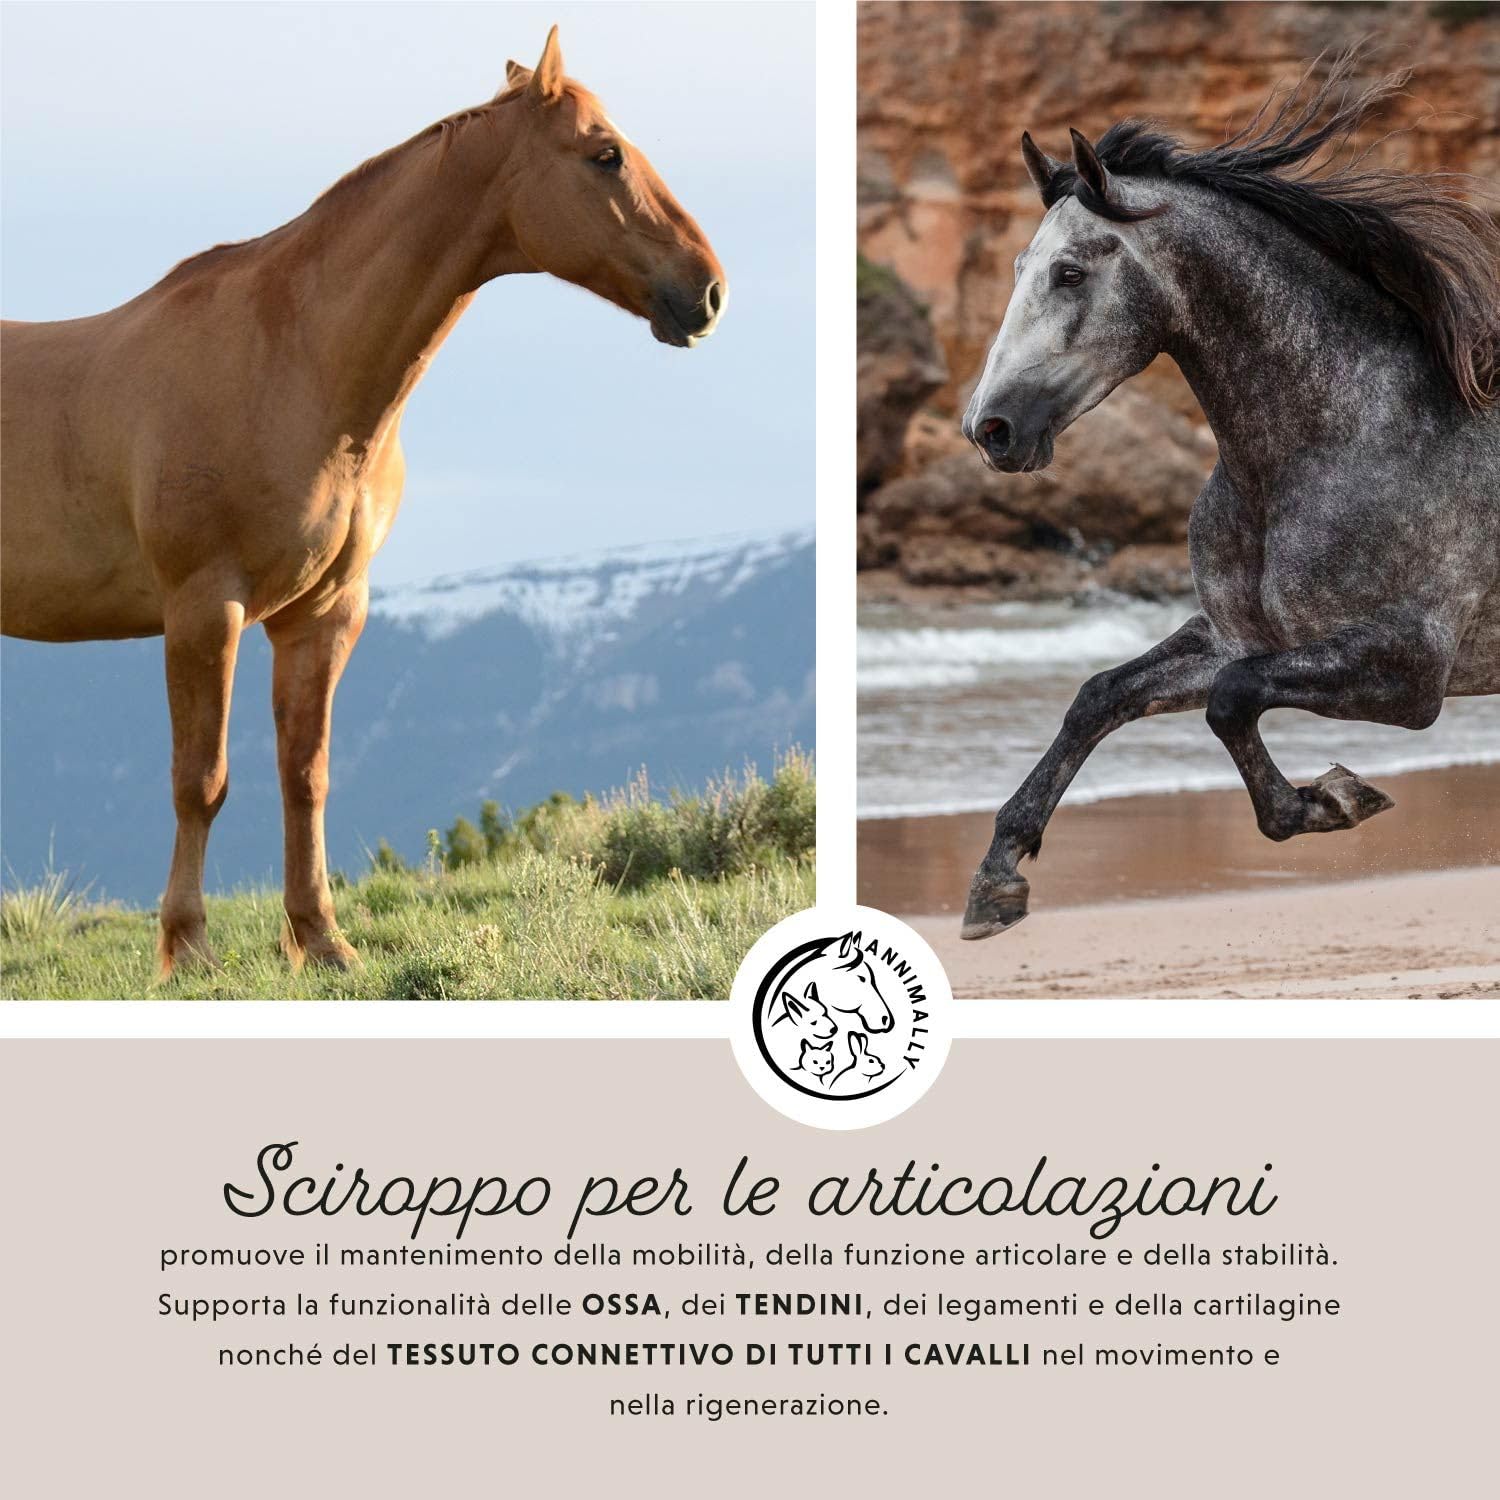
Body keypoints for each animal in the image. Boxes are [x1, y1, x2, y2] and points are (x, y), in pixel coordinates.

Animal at [0, 28, 726, 976]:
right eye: (604, 153)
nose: (707, 290)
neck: (293, 361)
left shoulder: (323, 614)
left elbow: (304, 776)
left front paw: (320, 940)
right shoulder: (204, 608)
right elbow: (201, 779)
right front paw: (187, 948)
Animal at [957, 53, 1500, 940]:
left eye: (1069, 272)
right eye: (1015, 271)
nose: (989, 428)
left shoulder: (1410, 668)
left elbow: (1230, 701)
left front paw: (1334, 799)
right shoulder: (1239, 635)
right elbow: (1100, 696)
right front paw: (997, 878)